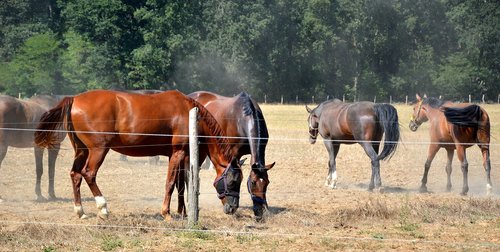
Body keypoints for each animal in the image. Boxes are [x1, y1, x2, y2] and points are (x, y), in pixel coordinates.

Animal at [33, 89, 242, 220]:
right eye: (233, 180)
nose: (232, 208)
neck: (189, 112)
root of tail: (74, 99)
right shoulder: (178, 153)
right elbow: (171, 184)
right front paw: (167, 213)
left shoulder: (180, 156)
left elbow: (181, 185)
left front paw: (183, 212)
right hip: (98, 150)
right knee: (88, 174)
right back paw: (103, 208)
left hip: (81, 151)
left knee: (75, 175)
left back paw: (81, 211)